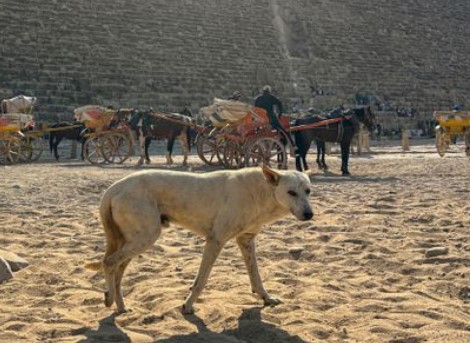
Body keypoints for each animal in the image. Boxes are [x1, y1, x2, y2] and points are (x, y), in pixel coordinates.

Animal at [85, 166, 312, 314]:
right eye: (291, 192)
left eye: (308, 191)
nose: (309, 214)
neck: (262, 191)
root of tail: (114, 187)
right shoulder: (215, 240)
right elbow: (200, 281)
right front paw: (187, 306)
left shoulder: (246, 241)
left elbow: (256, 277)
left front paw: (266, 298)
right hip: (145, 237)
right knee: (108, 263)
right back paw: (110, 298)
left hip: (134, 241)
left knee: (117, 272)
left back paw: (120, 306)